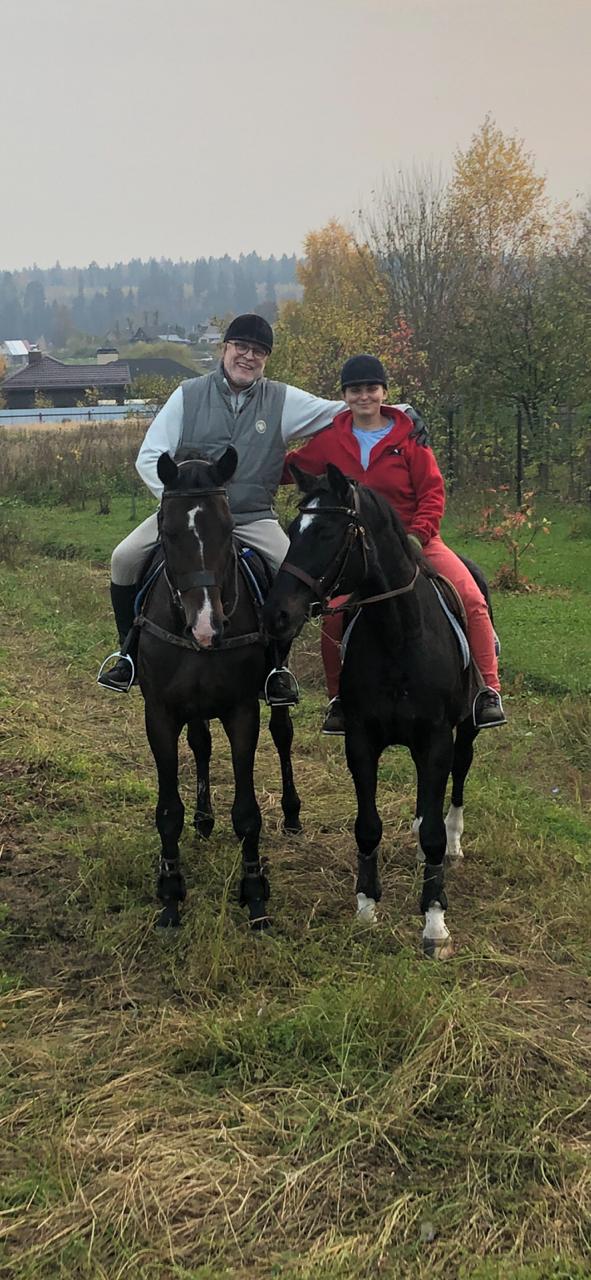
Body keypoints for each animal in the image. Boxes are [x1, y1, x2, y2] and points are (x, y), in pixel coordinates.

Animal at [135, 447, 302, 929]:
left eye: (227, 528)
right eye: (168, 530)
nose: (208, 627)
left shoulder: (242, 710)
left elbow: (247, 812)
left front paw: (255, 892)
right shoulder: (160, 713)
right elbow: (168, 811)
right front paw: (170, 892)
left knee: (283, 734)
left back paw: (291, 812)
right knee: (201, 743)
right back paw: (204, 818)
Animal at [263, 462, 484, 959]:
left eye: (327, 532)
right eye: (292, 527)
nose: (277, 613)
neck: (400, 635)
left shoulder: (437, 738)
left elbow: (434, 828)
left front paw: (434, 922)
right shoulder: (361, 740)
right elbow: (368, 825)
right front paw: (366, 906)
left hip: (466, 728)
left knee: (459, 775)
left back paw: (454, 842)